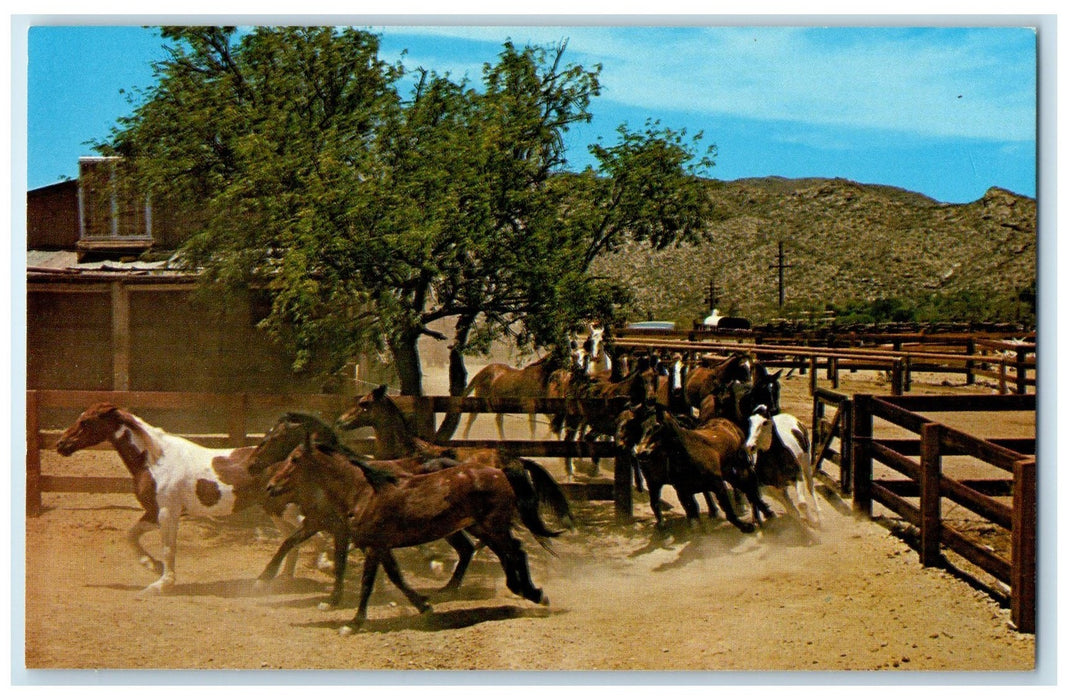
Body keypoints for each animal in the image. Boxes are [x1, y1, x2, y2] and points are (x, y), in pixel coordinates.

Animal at [265, 436, 555, 632]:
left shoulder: (373, 545)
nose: (270, 486)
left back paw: (533, 593)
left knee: (514, 552)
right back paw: (519, 590)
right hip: (483, 527)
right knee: (504, 553)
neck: (362, 492)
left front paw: (353, 623)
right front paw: (423, 606)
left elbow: (368, 583)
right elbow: (393, 577)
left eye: (295, 459)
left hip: (492, 526)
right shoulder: (377, 545)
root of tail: (501, 470)